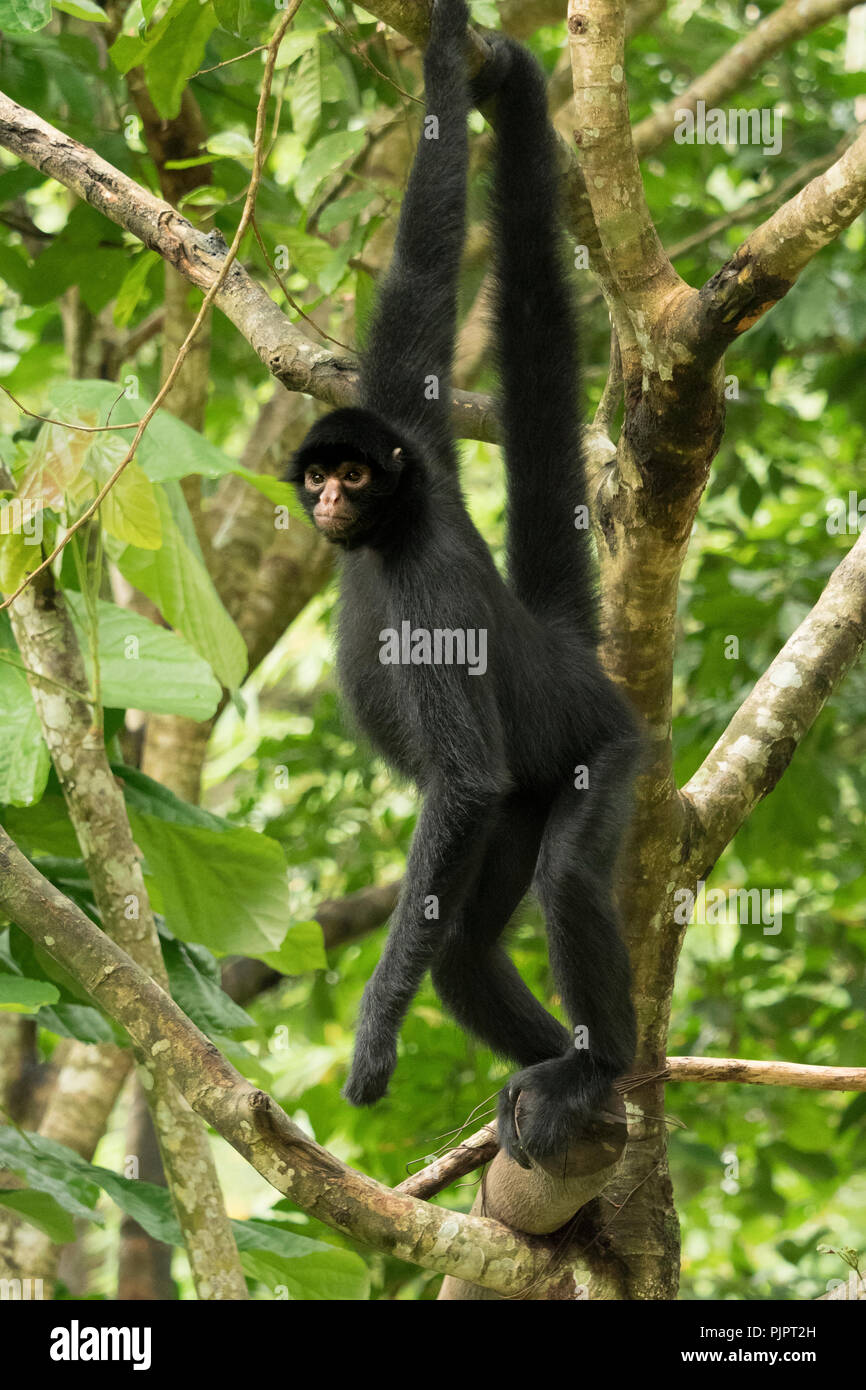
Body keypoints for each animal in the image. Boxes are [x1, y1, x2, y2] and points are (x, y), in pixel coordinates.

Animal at [287, 0, 641, 1166]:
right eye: (323, 473)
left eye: (355, 475)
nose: (330, 500)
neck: (397, 526)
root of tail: (569, 655)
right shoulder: (414, 421)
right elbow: (423, 263)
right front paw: (454, 61)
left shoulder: (431, 582)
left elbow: (464, 779)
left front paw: (370, 1039)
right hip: (530, 806)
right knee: (461, 951)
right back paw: (561, 1073)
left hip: (603, 754)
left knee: (563, 873)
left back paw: (600, 1069)